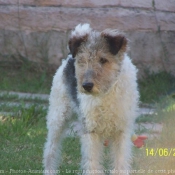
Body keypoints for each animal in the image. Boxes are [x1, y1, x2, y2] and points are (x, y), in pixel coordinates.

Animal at [43, 23, 139, 175]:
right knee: (50, 150)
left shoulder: (121, 131)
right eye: (82, 60)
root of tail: (69, 57)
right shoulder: (91, 131)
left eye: (103, 59)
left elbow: (120, 164)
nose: (87, 86)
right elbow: (92, 163)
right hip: (57, 117)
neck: (105, 94)